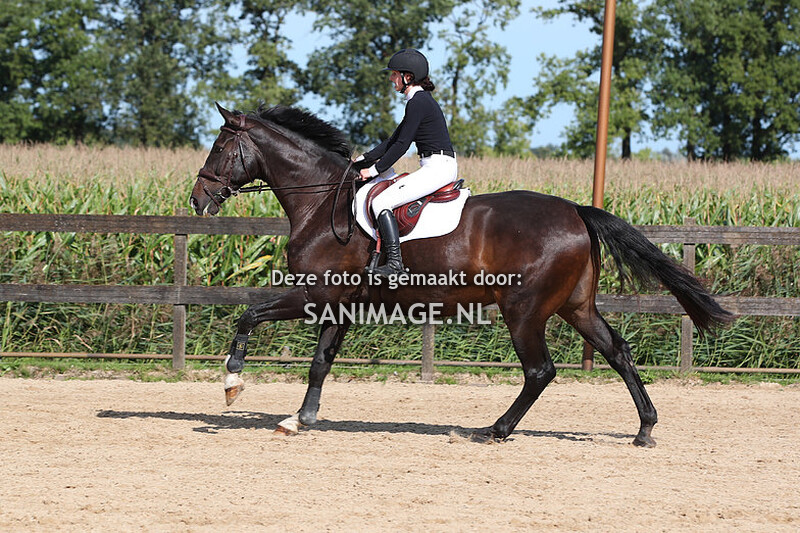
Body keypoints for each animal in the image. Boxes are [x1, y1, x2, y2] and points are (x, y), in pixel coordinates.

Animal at [190, 103, 733, 447]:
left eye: (218, 148)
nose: (198, 200)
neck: (323, 204)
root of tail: (577, 212)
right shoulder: (340, 304)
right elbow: (320, 362)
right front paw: (298, 420)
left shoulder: (314, 294)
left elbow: (248, 316)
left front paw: (232, 382)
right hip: (575, 306)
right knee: (617, 351)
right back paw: (645, 428)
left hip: (524, 310)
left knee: (540, 371)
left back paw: (495, 430)